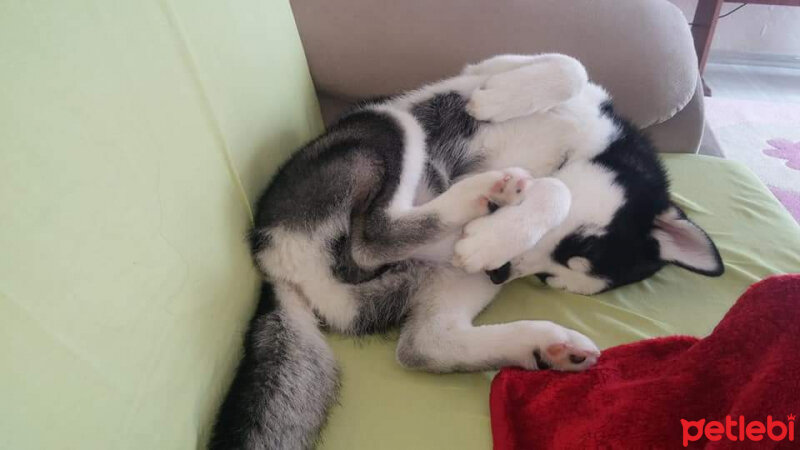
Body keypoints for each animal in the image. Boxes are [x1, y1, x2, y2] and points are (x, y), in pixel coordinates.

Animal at [209, 54, 720, 448]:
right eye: (572, 247)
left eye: (549, 279)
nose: (500, 272)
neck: (570, 150)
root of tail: (271, 259)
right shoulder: (491, 68)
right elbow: (569, 68)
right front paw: (497, 101)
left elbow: (553, 186)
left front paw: (503, 228)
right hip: (392, 124)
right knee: (372, 238)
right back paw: (481, 195)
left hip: (440, 274)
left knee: (423, 340)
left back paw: (545, 342)